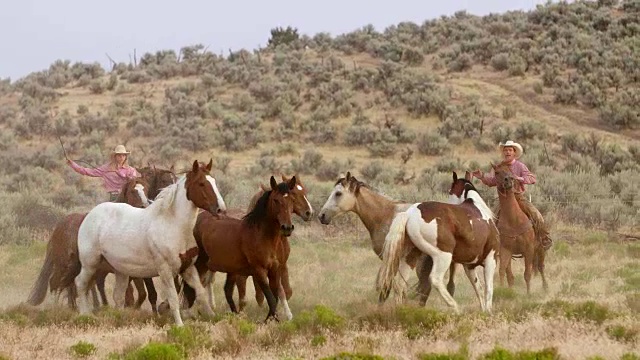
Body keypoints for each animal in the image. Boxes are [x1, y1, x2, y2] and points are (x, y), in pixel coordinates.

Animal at [75, 160, 226, 326]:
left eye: (214, 181)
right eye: (201, 183)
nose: (221, 210)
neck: (173, 224)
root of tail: (91, 214)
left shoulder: (188, 268)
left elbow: (200, 293)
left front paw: (212, 316)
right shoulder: (165, 271)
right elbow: (173, 299)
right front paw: (179, 325)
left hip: (120, 270)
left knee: (118, 296)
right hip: (91, 264)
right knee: (81, 284)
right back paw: (85, 315)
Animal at [376, 172, 500, 312]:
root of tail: (409, 214)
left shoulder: (469, 266)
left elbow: (478, 288)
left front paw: (483, 312)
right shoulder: (491, 259)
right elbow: (488, 289)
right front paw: (488, 312)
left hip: (411, 256)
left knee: (399, 284)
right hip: (443, 256)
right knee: (435, 280)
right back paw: (455, 308)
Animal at [490, 163, 544, 292]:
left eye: (511, 171)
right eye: (497, 172)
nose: (509, 180)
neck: (513, 220)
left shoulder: (529, 250)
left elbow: (527, 274)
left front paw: (528, 293)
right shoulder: (505, 250)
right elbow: (503, 272)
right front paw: (504, 290)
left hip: (540, 249)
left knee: (541, 267)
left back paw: (546, 288)